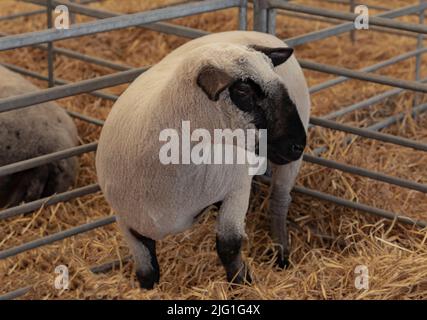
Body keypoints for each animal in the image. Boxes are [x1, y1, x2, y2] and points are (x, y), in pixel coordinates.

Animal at [96, 30, 310, 290]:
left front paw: (241, 284)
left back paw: (282, 256)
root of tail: (261, 33)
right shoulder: (127, 222)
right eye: (243, 91)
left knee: (279, 202)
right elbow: (146, 269)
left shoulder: (236, 189)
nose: (298, 144)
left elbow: (229, 247)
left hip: (288, 162)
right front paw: (147, 290)